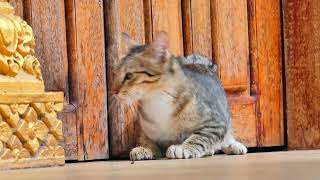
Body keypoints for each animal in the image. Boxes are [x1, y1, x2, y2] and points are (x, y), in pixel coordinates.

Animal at [112, 31, 248, 160]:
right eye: (115, 73)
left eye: (129, 76)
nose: (114, 91)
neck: (157, 101)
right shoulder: (146, 131)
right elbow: (146, 141)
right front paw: (144, 149)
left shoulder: (215, 123)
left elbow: (199, 138)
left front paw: (183, 148)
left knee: (225, 137)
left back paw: (233, 145)